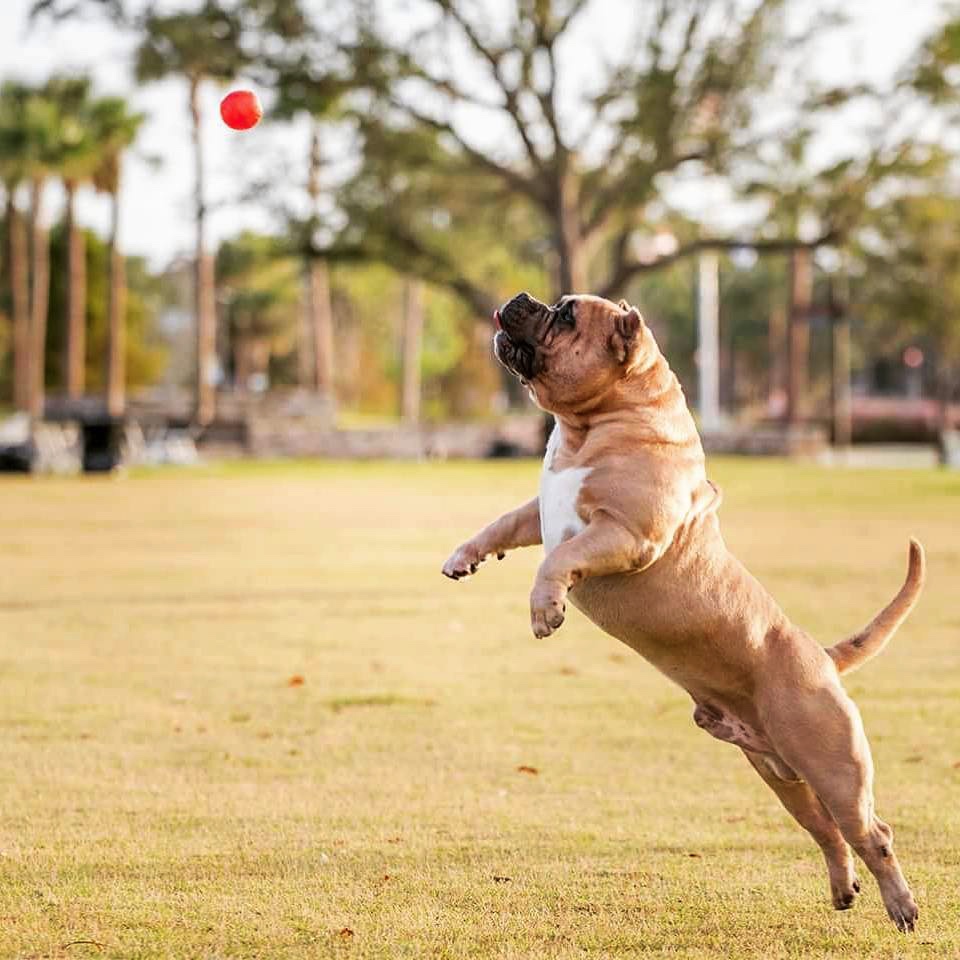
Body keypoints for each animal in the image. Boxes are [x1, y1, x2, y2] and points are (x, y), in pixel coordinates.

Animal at [440, 290, 924, 928]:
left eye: (566, 317)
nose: (520, 299)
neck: (593, 426)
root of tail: (821, 657)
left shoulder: (623, 535)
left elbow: (559, 561)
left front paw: (545, 610)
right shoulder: (536, 515)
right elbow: (500, 525)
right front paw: (463, 557)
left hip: (833, 766)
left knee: (873, 832)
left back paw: (901, 906)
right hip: (782, 776)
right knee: (826, 830)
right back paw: (844, 890)